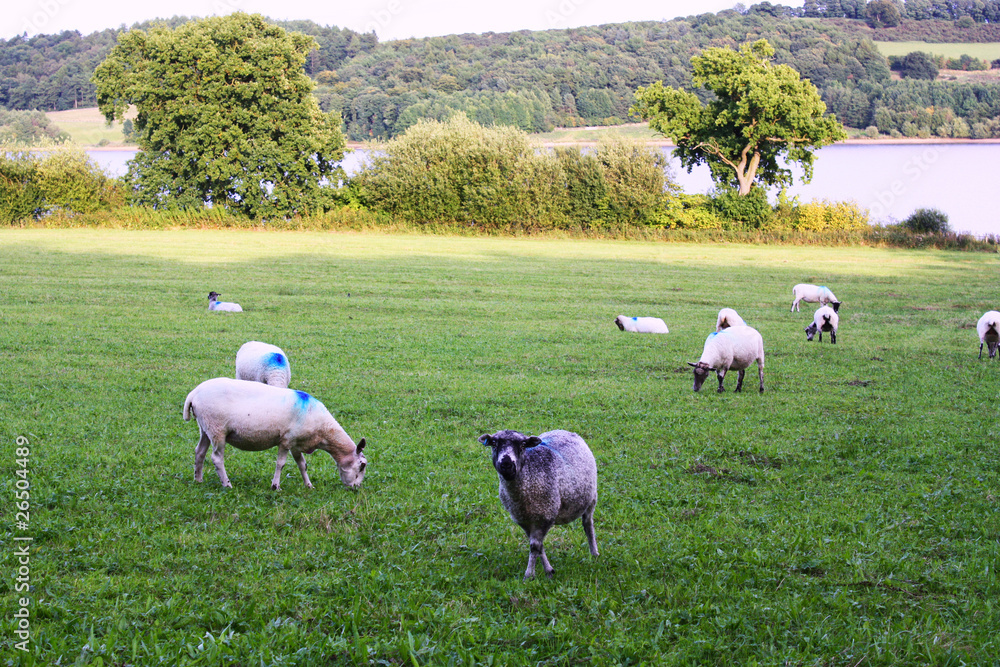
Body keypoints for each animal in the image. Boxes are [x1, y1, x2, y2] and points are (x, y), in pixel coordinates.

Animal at [183, 377, 367, 490]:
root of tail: (194, 393)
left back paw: (198, 479)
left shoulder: (296, 444)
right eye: (362, 465)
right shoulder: (286, 440)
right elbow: (281, 464)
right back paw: (227, 485)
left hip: (205, 428)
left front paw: (309, 485)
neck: (323, 432)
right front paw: (275, 486)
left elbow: (302, 464)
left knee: (199, 452)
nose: (356, 488)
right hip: (217, 430)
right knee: (216, 458)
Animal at [478, 429, 598, 581]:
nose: (506, 464)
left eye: (523, 445)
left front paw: (529, 575)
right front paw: (549, 571)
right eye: (494, 443)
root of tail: (564, 431)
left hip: (591, 499)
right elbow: (538, 546)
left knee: (588, 525)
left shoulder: (545, 516)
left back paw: (594, 554)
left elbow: (535, 546)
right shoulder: (523, 520)